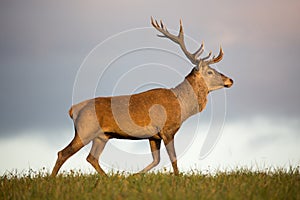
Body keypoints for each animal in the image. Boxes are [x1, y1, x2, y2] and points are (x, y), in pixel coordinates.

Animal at [51, 17, 233, 177]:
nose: (230, 80)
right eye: (210, 71)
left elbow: (156, 160)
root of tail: (73, 110)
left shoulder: (154, 136)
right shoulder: (167, 130)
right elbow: (173, 159)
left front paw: (132, 176)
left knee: (91, 157)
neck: (182, 106)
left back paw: (108, 178)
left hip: (102, 136)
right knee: (63, 153)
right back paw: (53, 179)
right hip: (85, 129)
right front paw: (178, 179)